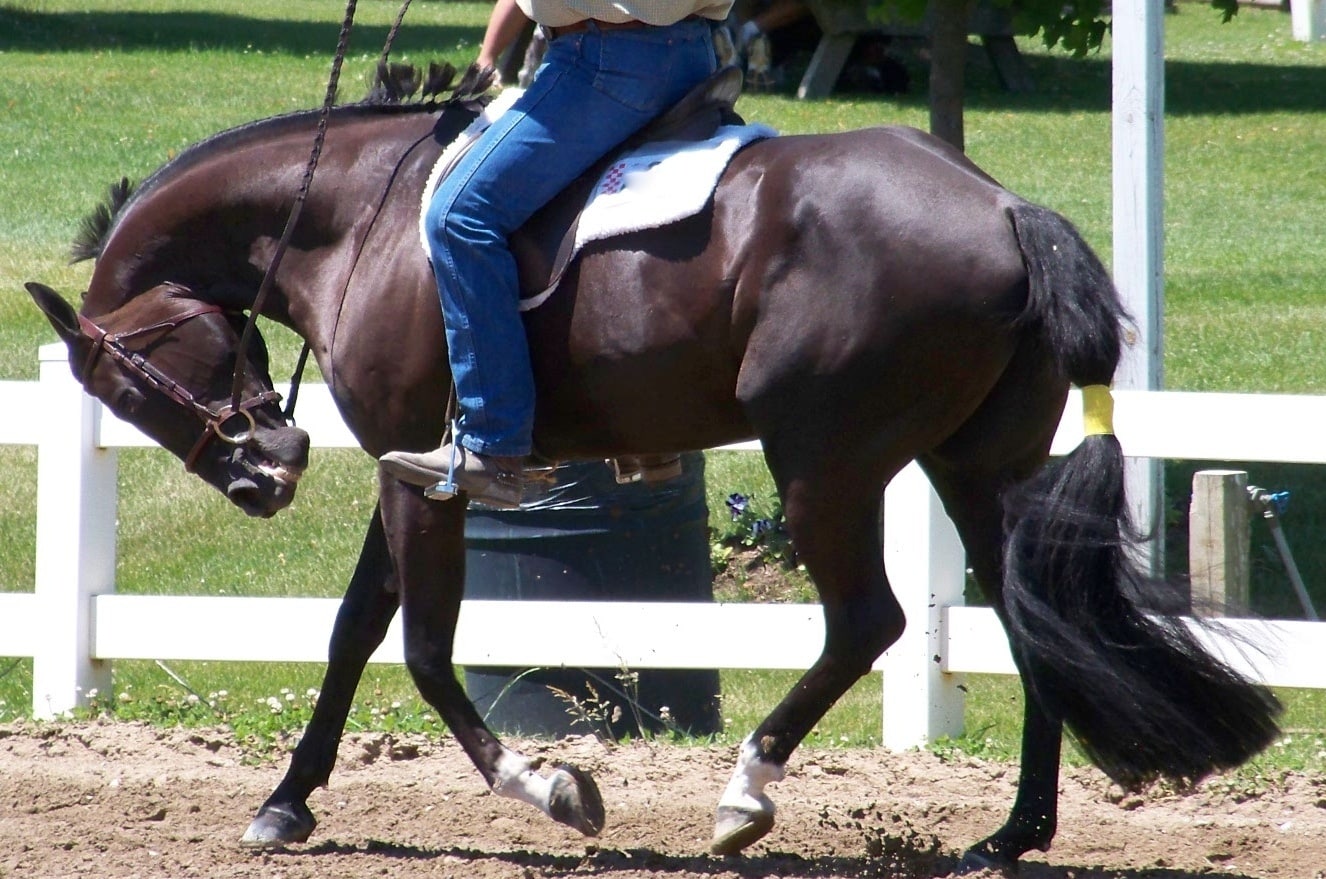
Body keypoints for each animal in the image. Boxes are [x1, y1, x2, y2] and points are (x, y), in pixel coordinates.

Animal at [25, 63, 1278, 875]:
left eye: (128, 384)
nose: (263, 476)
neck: (357, 220)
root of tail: (1007, 204)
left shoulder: (420, 470)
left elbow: (423, 650)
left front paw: (549, 786)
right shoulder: (410, 466)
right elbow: (353, 632)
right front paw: (286, 804)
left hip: (825, 462)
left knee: (868, 621)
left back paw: (746, 792)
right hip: (973, 465)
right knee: (1027, 620)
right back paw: (1012, 835)